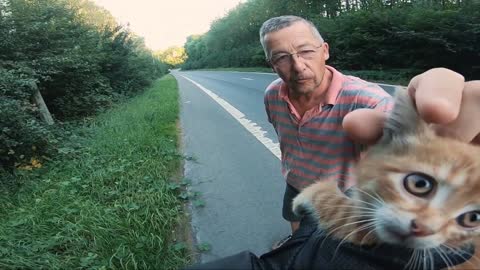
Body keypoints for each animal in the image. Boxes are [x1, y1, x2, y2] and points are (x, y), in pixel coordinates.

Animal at [290, 87, 480, 268]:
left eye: (473, 218)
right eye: (420, 184)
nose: (423, 229)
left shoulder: (359, 227)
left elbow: (330, 201)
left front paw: (302, 197)